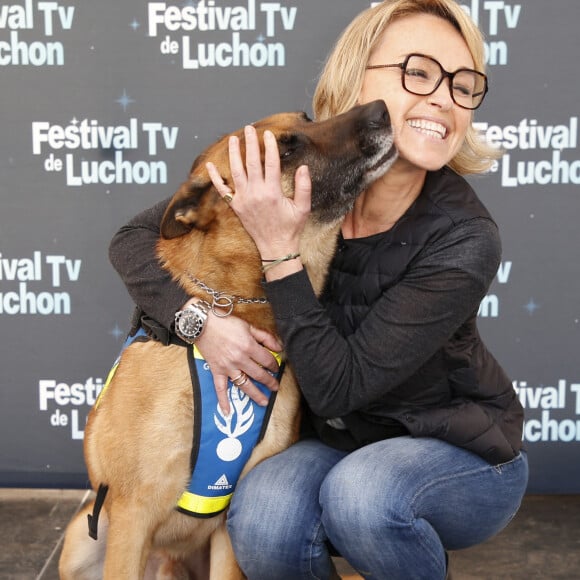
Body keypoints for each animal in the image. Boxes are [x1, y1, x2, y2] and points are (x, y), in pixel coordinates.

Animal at [59, 99, 396, 580]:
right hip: (82, 542)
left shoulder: (227, 528)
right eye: (285, 151)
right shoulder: (132, 515)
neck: (236, 302)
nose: (381, 108)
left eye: (308, 120)